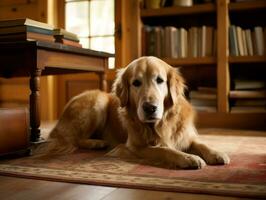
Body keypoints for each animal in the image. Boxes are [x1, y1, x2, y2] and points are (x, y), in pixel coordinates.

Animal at [43, 56, 229, 169]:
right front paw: (188, 158)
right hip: (98, 100)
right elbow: (164, 150)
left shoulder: (184, 135)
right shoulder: (134, 147)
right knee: (74, 139)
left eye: (160, 80)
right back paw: (96, 143)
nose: (150, 107)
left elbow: (200, 143)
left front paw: (216, 153)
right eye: (136, 83)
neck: (159, 124)